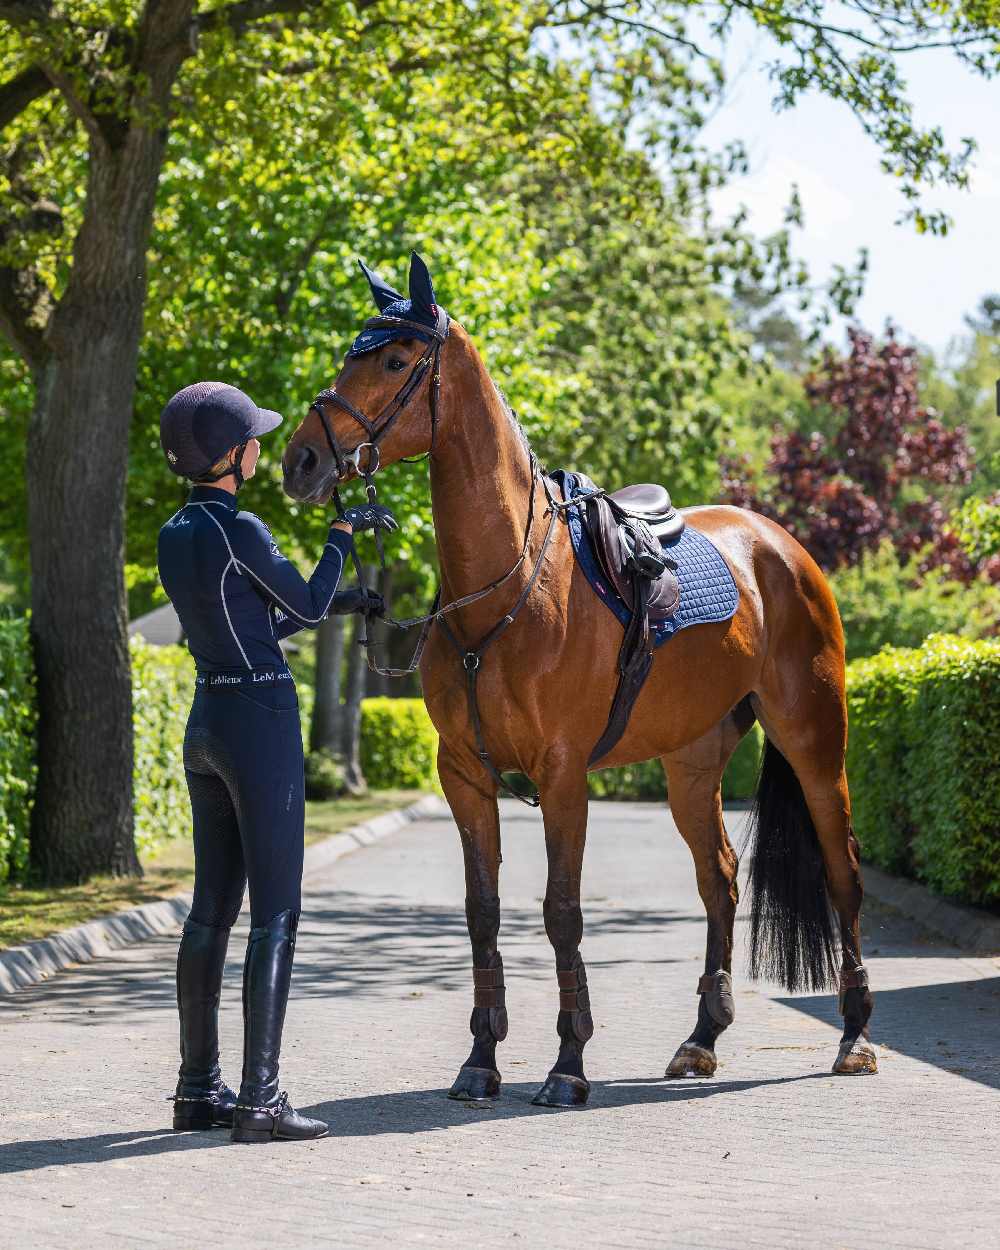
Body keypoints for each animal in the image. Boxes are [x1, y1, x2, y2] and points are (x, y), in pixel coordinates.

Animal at [281, 251, 875, 1105]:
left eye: (394, 360)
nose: (300, 460)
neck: (504, 591)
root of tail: (781, 548)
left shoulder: (562, 776)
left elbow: (562, 911)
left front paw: (567, 1064)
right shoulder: (464, 775)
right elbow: (483, 912)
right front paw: (481, 1060)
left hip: (814, 744)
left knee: (843, 871)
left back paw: (854, 1037)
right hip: (691, 764)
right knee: (721, 881)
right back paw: (701, 1040)